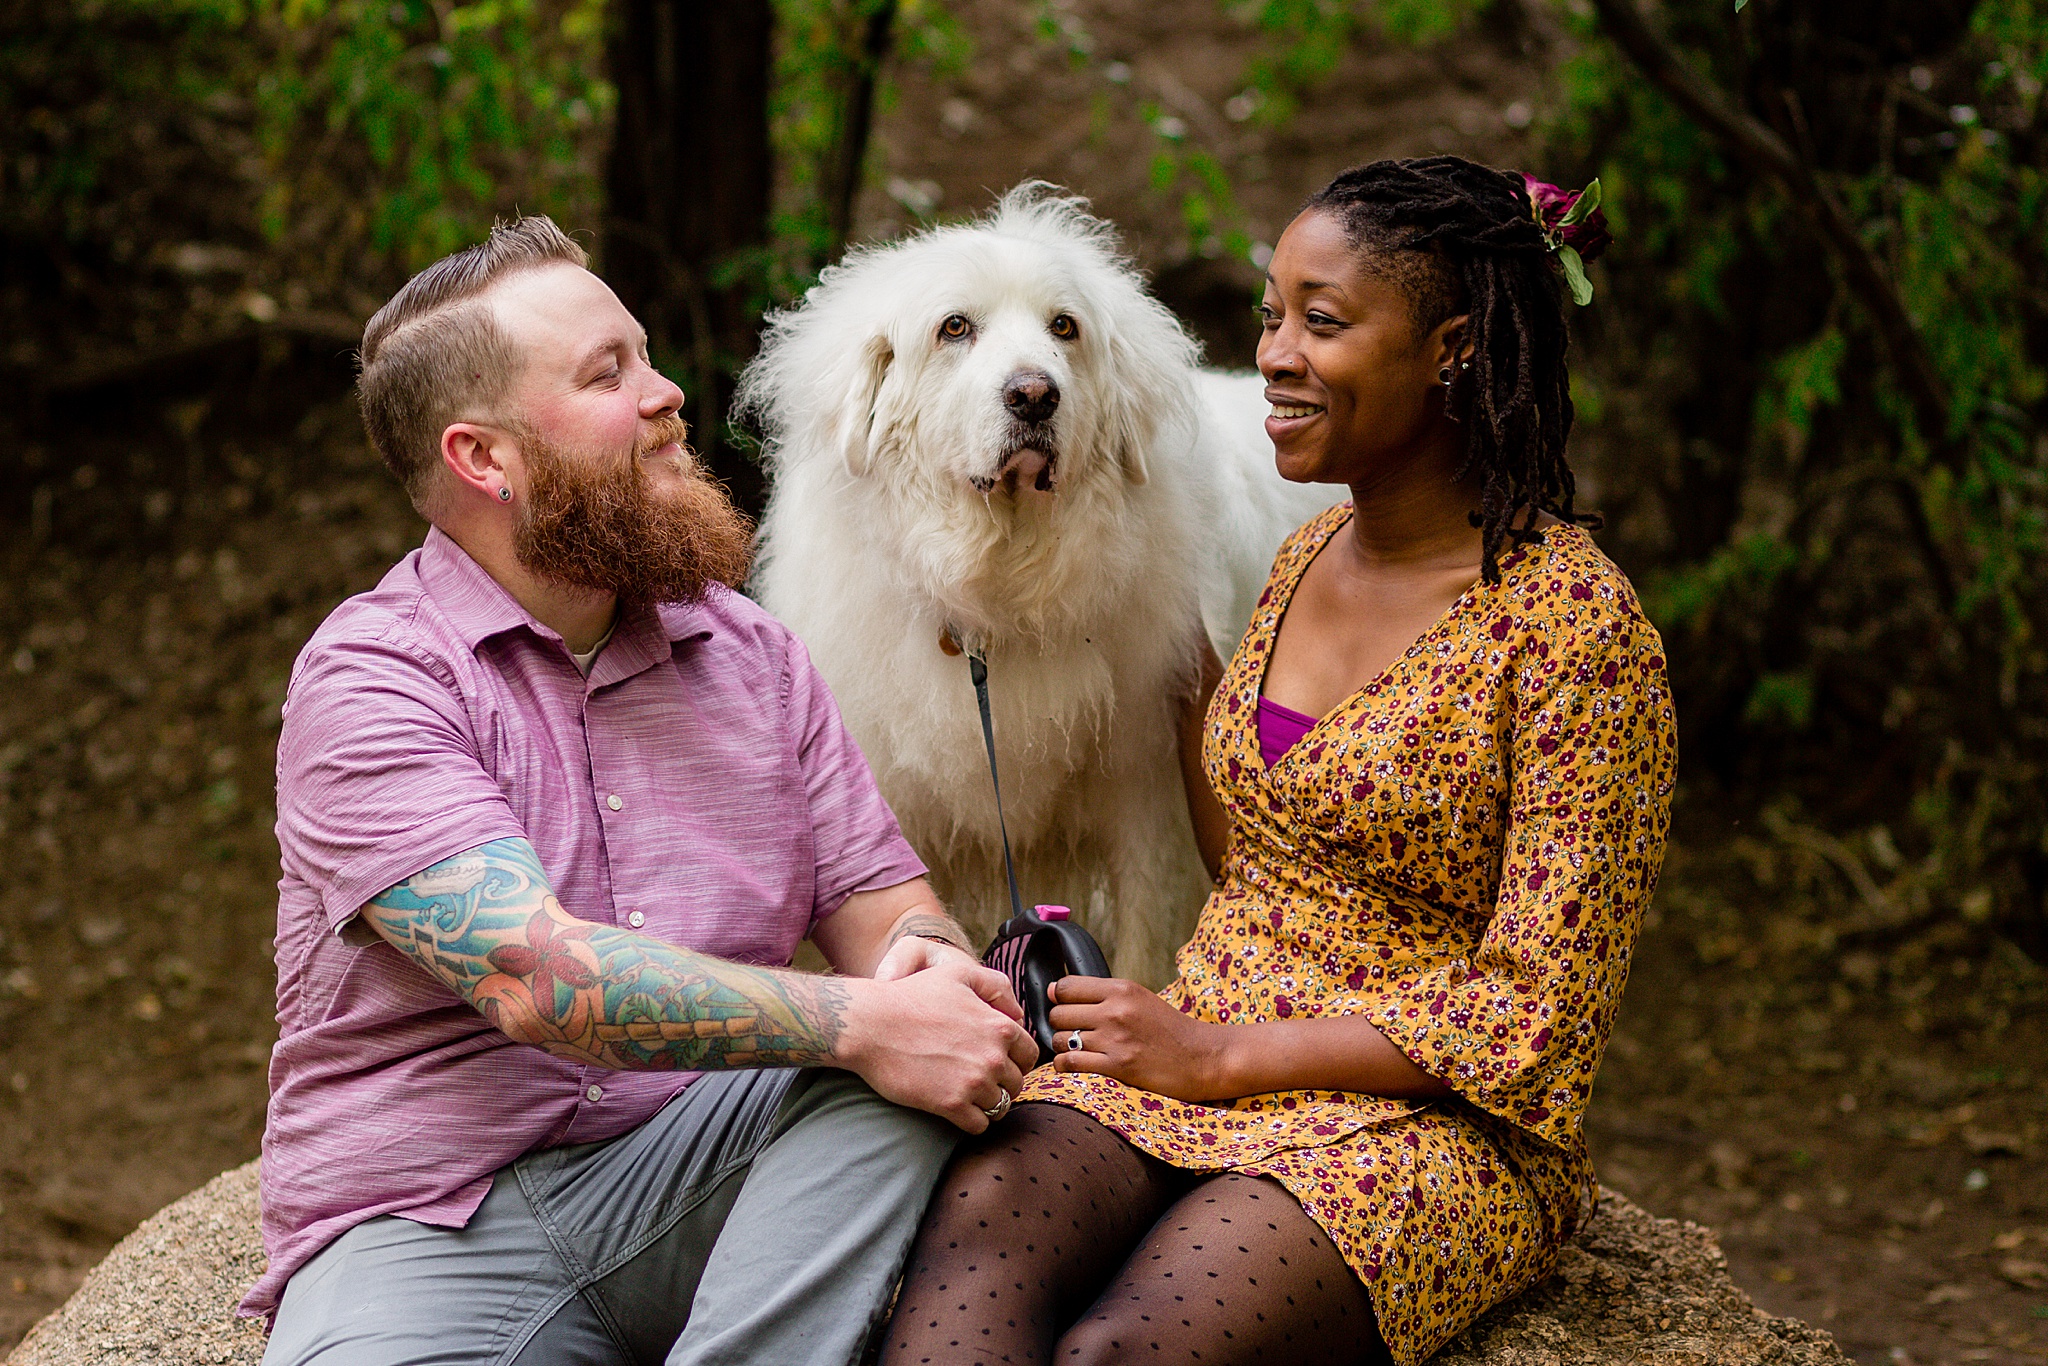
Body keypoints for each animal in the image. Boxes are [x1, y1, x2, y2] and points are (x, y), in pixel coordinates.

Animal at [745, 189, 1335, 983]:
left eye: (1064, 327)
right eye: (954, 328)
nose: (1034, 396)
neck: (998, 594)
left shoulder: (1147, 808)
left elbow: (1142, 953)